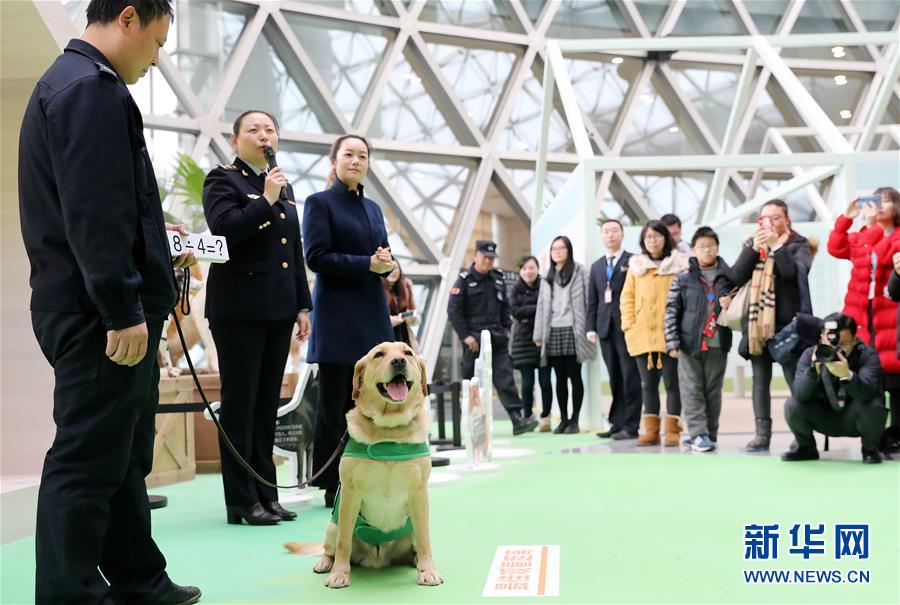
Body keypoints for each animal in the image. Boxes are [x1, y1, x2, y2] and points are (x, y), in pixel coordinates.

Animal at [308, 342, 442, 588]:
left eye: (407, 353)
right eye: (379, 354)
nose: (398, 361)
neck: (390, 431)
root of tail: (378, 559)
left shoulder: (419, 493)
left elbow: (425, 540)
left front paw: (428, 570)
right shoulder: (350, 494)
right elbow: (343, 543)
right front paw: (340, 573)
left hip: (410, 528)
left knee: (416, 545)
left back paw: (416, 561)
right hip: (332, 526)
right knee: (331, 546)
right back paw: (325, 563)